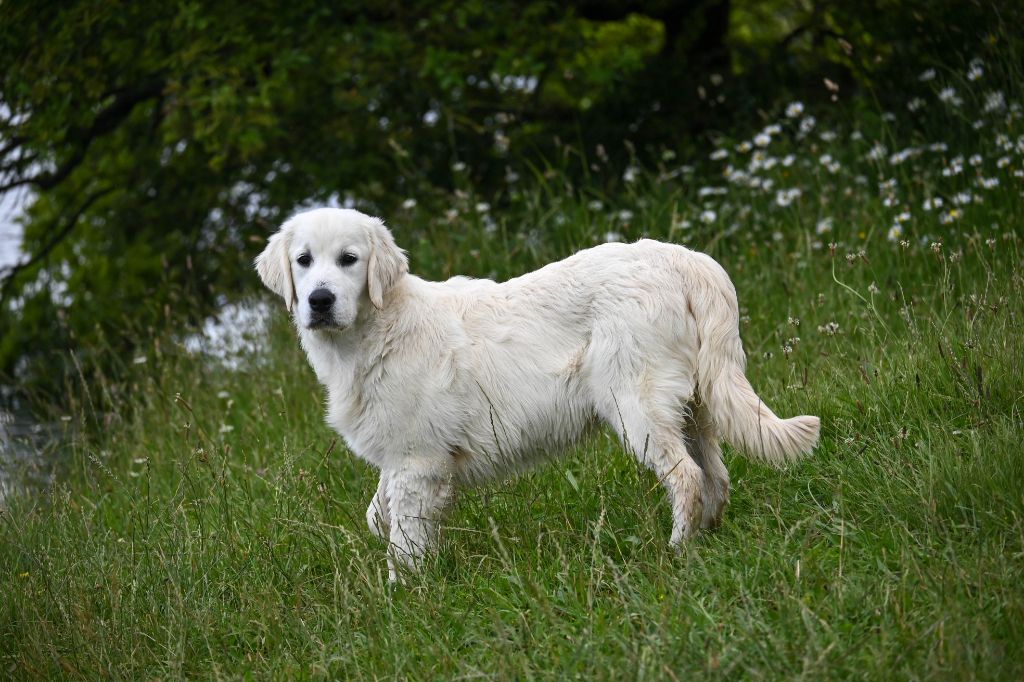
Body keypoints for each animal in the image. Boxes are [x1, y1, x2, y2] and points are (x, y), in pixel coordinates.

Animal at [258, 205, 823, 573]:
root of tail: (685, 259)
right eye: (304, 260)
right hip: (695, 406)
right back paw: (708, 538)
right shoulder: (405, 458)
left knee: (685, 478)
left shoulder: (418, 463)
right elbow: (378, 516)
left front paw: (405, 600)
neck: (375, 329)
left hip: (636, 406)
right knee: (716, 478)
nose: (320, 300)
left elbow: (404, 541)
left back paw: (676, 552)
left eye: (349, 259)